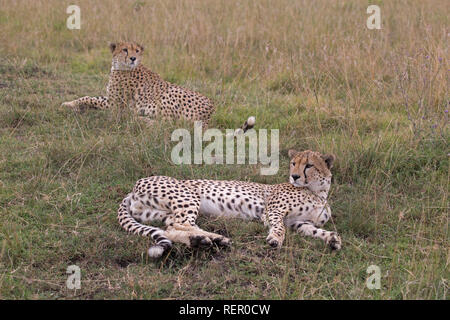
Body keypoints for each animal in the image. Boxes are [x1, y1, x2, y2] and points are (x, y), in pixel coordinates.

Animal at [61, 42, 255, 132]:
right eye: (125, 49)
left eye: (137, 51)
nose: (133, 58)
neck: (120, 66)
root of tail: (211, 112)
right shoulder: (111, 99)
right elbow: (88, 97)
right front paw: (70, 104)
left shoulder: (115, 104)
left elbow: (91, 98)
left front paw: (70, 105)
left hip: (168, 92)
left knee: (168, 124)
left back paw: (138, 119)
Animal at [118, 149, 340, 258]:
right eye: (294, 163)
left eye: (309, 165)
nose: (294, 176)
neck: (317, 192)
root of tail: (134, 186)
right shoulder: (273, 210)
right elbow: (279, 227)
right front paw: (275, 239)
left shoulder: (299, 223)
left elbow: (317, 231)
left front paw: (332, 239)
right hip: (188, 196)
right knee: (179, 225)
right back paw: (212, 239)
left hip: (159, 212)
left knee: (170, 228)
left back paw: (207, 240)